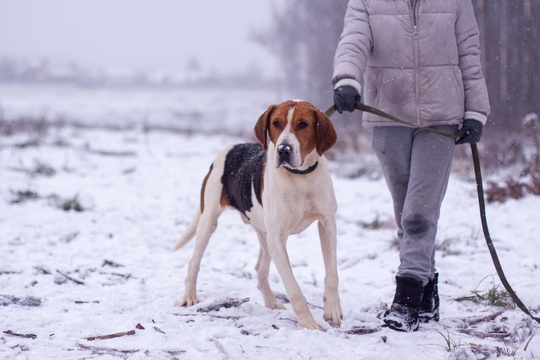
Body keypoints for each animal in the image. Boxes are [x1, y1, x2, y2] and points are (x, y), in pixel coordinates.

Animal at [173, 99, 342, 330]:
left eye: (303, 124)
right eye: (276, 123)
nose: (284, 150)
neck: (299, 177)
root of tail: (233, 147)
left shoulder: (327, 224)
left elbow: (332, 274)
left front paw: (332, 310)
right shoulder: (278, 238)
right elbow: (294, 288)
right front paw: (308, 323)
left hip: (265, 235)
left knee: (260, 269)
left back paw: (271, 301)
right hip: (209, 222)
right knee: (194, 262)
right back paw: (189, 297)